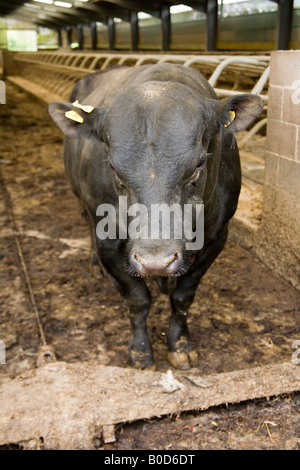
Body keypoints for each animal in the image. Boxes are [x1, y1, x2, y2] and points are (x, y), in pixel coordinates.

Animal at [49, 63, 262, 370]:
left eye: (200, 162)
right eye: (113, 167)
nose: (155, 262)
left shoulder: (217, 236)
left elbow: (183, 297)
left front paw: (181, 346)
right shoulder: (109, 243)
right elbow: (137, 300)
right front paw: (140, 351)